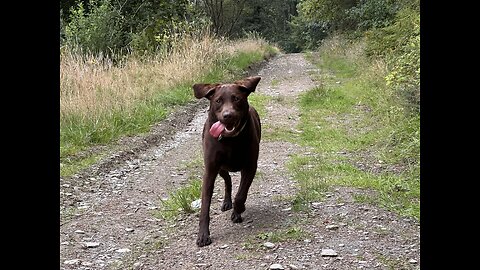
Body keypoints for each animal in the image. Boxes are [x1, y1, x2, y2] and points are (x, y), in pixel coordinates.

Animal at [192, 76, 262, 247]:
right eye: (218, 101)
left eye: (236, 98)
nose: (227, 115)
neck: (230, 140)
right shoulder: (210, 170)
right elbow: (205, 206)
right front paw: (203, 235)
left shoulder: (250, 166)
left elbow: (241, 194)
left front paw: (239, 209)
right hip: (221, 168)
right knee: (228, 180)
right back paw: (226, 202)